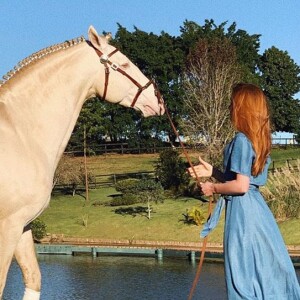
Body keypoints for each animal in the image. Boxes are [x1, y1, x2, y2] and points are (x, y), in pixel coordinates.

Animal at [0, 26, 164, 300]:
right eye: (124, 64)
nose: (158, 99)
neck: (19, 133)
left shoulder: (22, 226)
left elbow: (34, 278)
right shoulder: (7, 228)